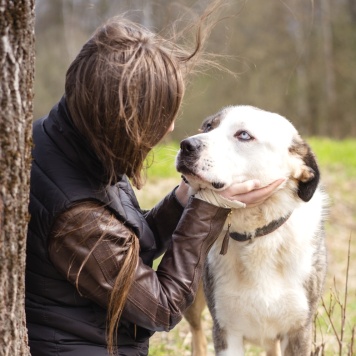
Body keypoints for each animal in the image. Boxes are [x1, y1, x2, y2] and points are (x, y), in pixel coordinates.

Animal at [175, 105, 328, 356]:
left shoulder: (299, 330)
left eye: (244, 135)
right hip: (192, 296)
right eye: (208, 127)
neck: (256, 236)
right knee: (197, 332)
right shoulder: (226, 330)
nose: (186, 145)